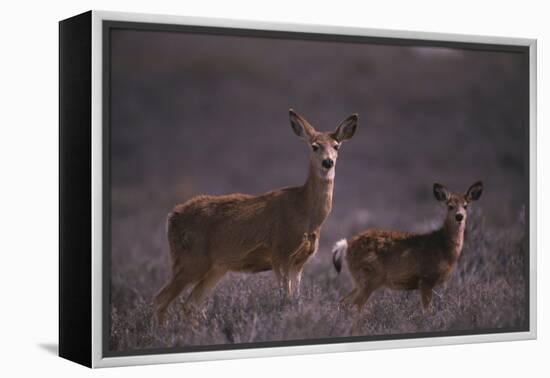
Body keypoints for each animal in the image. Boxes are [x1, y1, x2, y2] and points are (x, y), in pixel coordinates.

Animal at [154, 108, 362, 322]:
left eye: (336, 146)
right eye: (315, 146)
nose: (328, 162)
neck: (305, 213)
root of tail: (172, 217)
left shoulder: (300, 262)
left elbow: (295, 298)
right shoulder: (280, 252)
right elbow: (285, 300)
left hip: (215, 267)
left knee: (190, 304)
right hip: (191, 259)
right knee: (161, 299)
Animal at [332, 182, 484, 312]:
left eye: (466, 205)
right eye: (450, 206)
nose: (459, 216)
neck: (443, 247)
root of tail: (347, 245)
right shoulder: (426, 278)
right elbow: (427, 311)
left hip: (359, 279)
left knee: (343, 302)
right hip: (369, 276)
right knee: (355, 305)